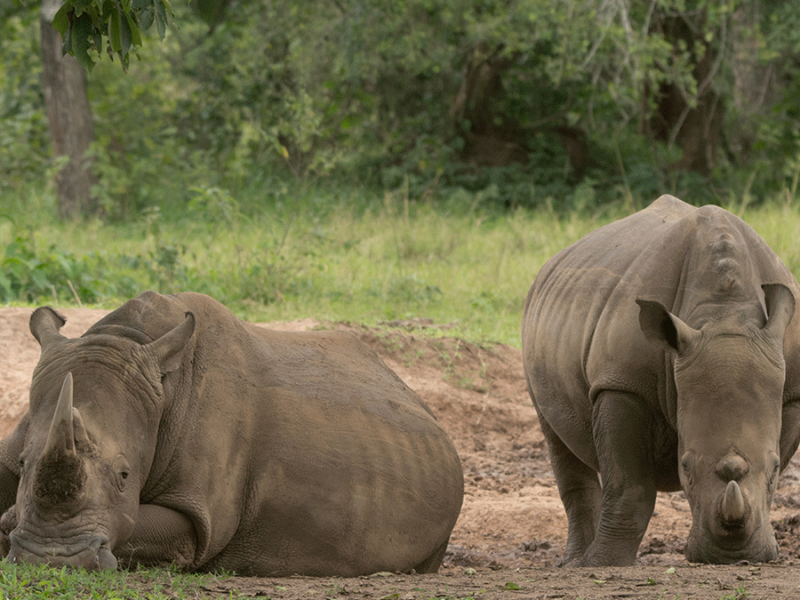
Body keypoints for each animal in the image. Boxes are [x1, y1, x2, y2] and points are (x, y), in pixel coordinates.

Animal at [520, 197, 800, 568]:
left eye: (775, 466)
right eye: (685, 466)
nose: (731, 556)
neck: (725, 313)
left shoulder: (791, 392)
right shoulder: (622, 382)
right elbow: (630, 485)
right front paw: (604, 563)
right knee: (558, 439)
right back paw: (575, 563)